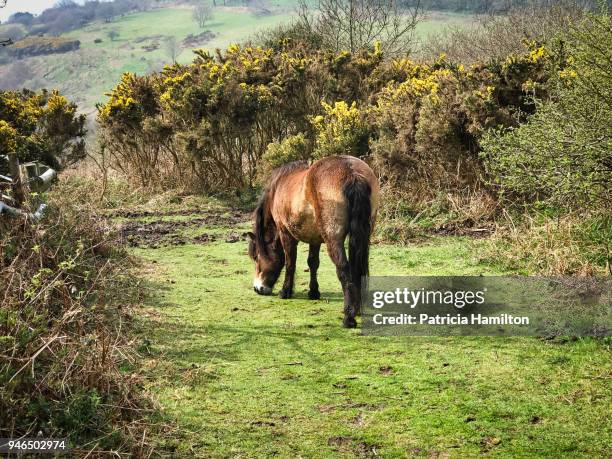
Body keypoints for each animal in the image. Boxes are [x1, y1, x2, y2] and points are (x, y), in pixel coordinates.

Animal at [245, 156, 378, 328]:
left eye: (256, 257)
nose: (258, 288)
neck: (279, 186)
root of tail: (352, 173)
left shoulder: (285, 233)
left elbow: (290, 263)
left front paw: (285, 291)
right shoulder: (314, 239)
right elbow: (313, 263)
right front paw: (313, 292)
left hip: (333, 240)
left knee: (344, 270)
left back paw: (348, 317)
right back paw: (356, 309)